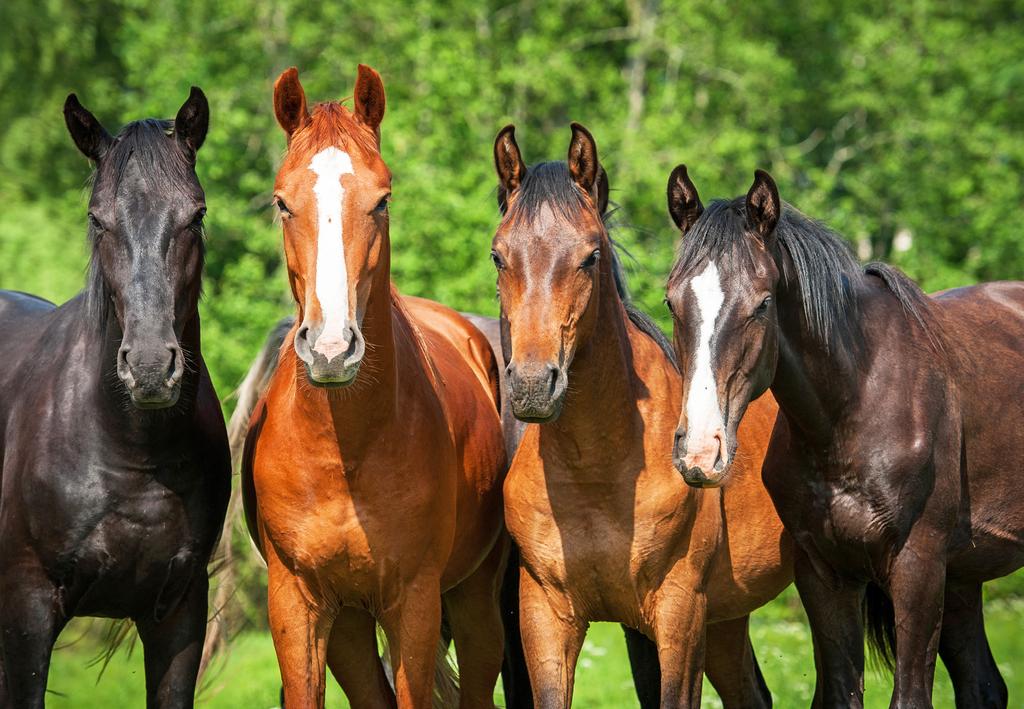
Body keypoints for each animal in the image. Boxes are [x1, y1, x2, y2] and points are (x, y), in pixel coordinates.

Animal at [0, 90, 230, 709]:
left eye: (197, 214)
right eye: (97, 219)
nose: (150, 368)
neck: (130, 453)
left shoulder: (179, 612)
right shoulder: (26, 611)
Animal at [240, 63, 512, 704]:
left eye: (382, 199)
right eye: (282, 203)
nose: (332, 347)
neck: (344, 454)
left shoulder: (413, 603)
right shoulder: (299, 607)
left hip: (472, 603)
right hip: (350, 629)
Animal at [491, 124, 794, 704]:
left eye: (590, 256)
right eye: (499, 256)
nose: (534, 385)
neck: (597, 471)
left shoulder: (679, 615)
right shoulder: (545, 617)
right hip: (728, 621)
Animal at [663, 164, 1024, 704]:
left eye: (763, 304)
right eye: (672, 302)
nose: (701, 452)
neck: (852, 411)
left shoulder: (918, 567)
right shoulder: (823, 573)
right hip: (963, 577)